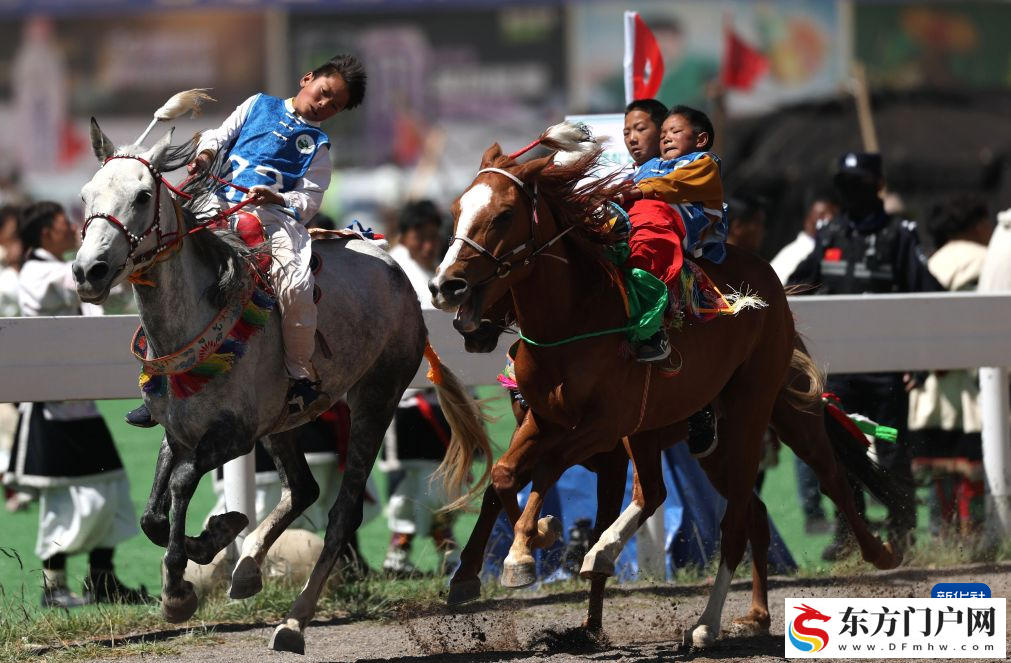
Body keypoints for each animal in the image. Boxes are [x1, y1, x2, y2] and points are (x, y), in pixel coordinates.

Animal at [72, 120, 491, 655]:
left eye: (144, 196)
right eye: (86, 195)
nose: (89, 271)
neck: (200, 321)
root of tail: (398, 273)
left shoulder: (235, 433)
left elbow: (183, 484)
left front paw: (179, 588)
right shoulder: (179, 430)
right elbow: (153, 515)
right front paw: (215, 537)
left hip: (375, 398)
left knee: (342, 513)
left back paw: (294, 620)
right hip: (284, 421)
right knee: (305, 488)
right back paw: (248, 569)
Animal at [431, 142, 904, 646]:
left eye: (503, 215)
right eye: (456, 210)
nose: (445, 285)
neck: (576, 320)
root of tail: (770, 283)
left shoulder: (607, 428)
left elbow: (552, 469)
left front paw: (532, 545)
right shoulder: (548, 420)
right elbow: (503, 475)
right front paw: (482, 569)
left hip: (760, 408)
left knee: (806, 489)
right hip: (706, 441)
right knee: (747, 510)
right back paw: (755, 614)